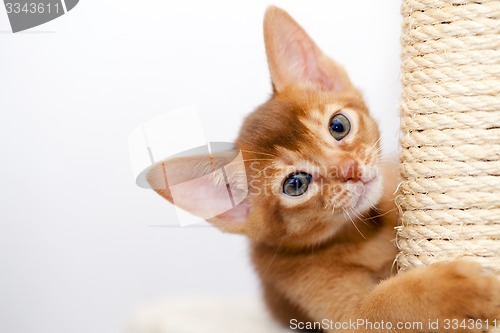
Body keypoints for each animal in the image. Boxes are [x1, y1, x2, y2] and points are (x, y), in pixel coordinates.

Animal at [146, 5, 500, 332]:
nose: (350, 169)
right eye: (296, 184)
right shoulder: (337, 309)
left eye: (338, 126)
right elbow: (389, 304)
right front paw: (465, 293)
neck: (366, 234)